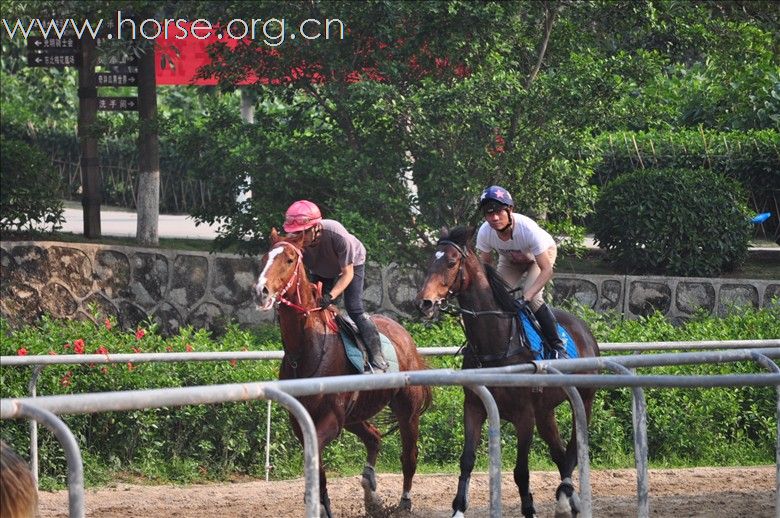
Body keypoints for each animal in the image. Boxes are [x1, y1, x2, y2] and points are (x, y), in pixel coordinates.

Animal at [253, 232, 432, 518]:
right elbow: (317, 465)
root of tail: (405, 336)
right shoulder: (301, 419)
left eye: (289, 259)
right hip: (354, 415)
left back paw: (404, 503)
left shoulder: (332, 418)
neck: (308, 349)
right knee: (374, 437)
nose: (262, 292)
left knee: (409, 456)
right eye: (264, 257)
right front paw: (320, 503)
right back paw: (371, 493)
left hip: (407, 410)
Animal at [418, 229, 600, 518]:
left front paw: (530, 509)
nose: (424, 303)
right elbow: (467, 459)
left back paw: (565, 498)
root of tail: (584, 330)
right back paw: (570, 500)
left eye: (450, 262)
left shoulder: (525, 415)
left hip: (584, 399)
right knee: (560, 454)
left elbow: (521, 471)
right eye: (429, 262)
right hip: (545, 412)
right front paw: (458, 509)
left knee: (573, 450)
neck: (497, 341)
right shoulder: (475, 406)